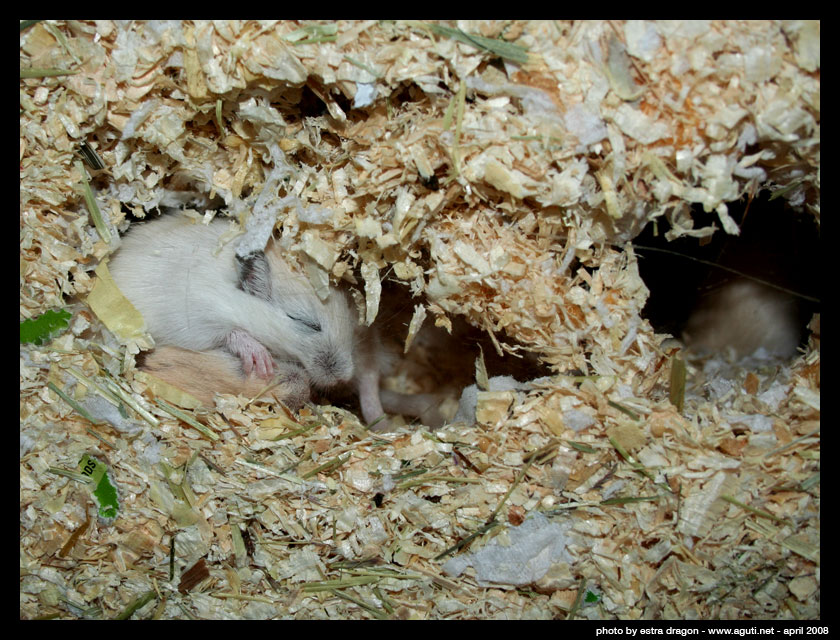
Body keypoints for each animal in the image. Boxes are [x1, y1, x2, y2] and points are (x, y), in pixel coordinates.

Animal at [108, 215, 394, 430]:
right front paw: (261, 361)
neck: (235, 301)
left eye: (347, 313)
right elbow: (232, 333)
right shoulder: (198, 315)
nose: (342, 377)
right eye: (304, 322)